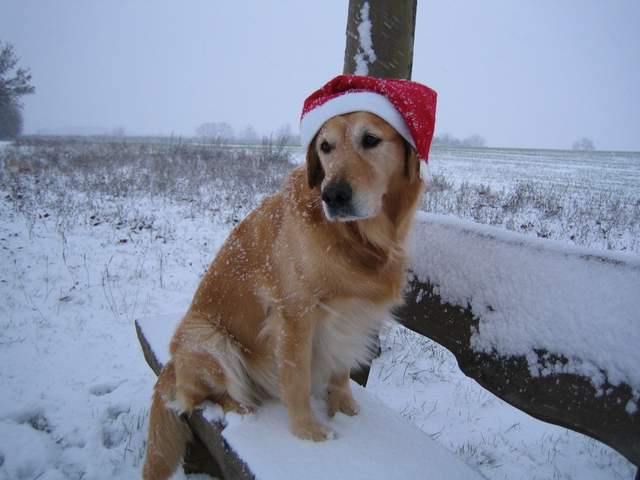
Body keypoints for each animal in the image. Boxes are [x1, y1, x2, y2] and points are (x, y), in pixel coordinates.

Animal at [142, 109, 428, 480]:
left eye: (371, 139)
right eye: (325, 146)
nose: (333, 195)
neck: (356, 239)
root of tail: (171, 366)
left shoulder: (354, 316)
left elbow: (341, 370)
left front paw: (343, 406)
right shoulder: (295, 315)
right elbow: (296, 379)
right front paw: (307, 431)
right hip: (205, 337)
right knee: (200, 397)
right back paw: (240, 406)